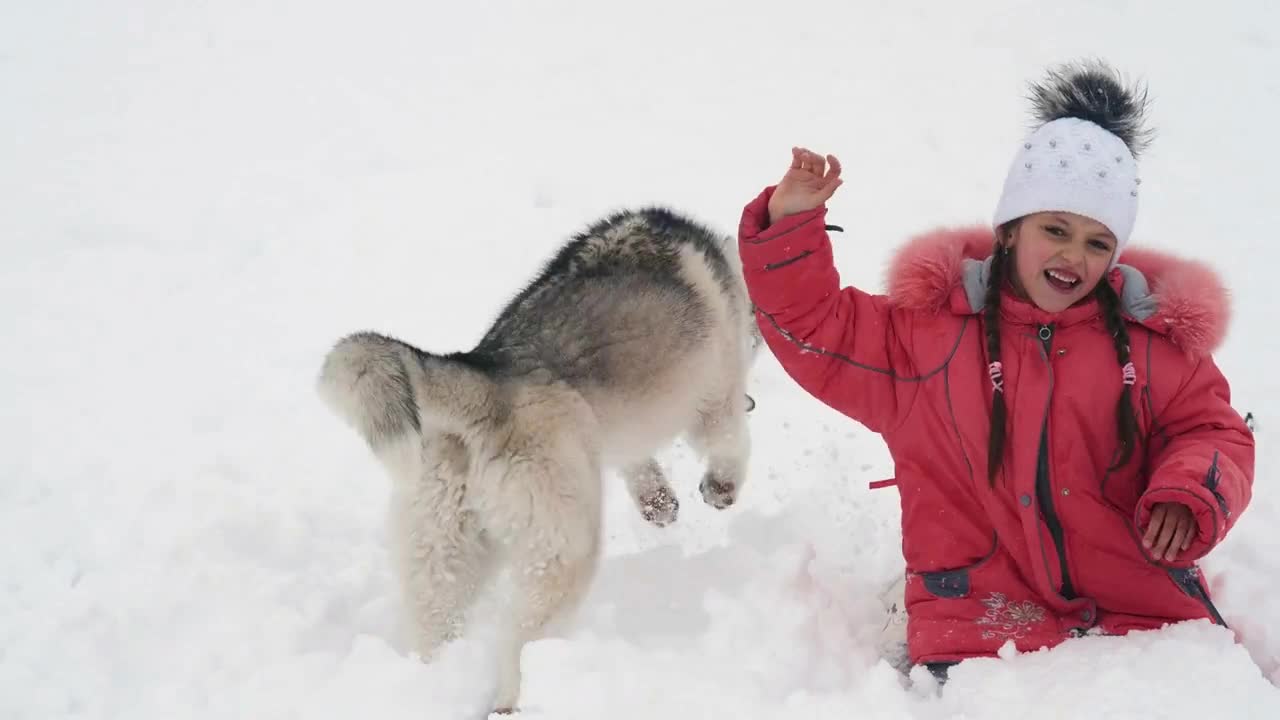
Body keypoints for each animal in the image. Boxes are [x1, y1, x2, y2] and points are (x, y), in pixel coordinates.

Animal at [317, 204, 757, 707]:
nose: (759, 334)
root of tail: (487, 375)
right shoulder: (717, 398)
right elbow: (730, 444)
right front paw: (720, 489)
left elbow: (638, 465)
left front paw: (659, 503)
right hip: (564, 551)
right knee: (518, 646)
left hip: (440, 557)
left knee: (436, 630)